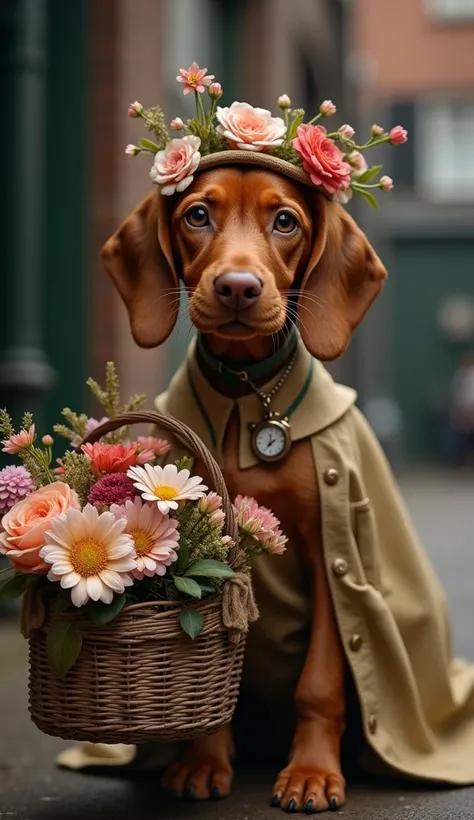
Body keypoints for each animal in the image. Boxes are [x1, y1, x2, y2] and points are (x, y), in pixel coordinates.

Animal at [102, 167, 386, 812]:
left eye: (285, 221)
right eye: (197, 214)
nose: (236, 287)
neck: (245, 389)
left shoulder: (329, 557)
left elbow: (321, 683)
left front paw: (311, 774)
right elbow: (214, 686)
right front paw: (203, 762)